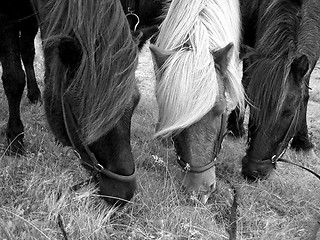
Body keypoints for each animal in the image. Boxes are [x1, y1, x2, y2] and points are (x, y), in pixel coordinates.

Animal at [228, 0, 320, 180]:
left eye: (289, 113)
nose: (254, 171)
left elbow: (304, 94)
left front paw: (304, 143)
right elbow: (245, 83)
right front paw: (234, 127)